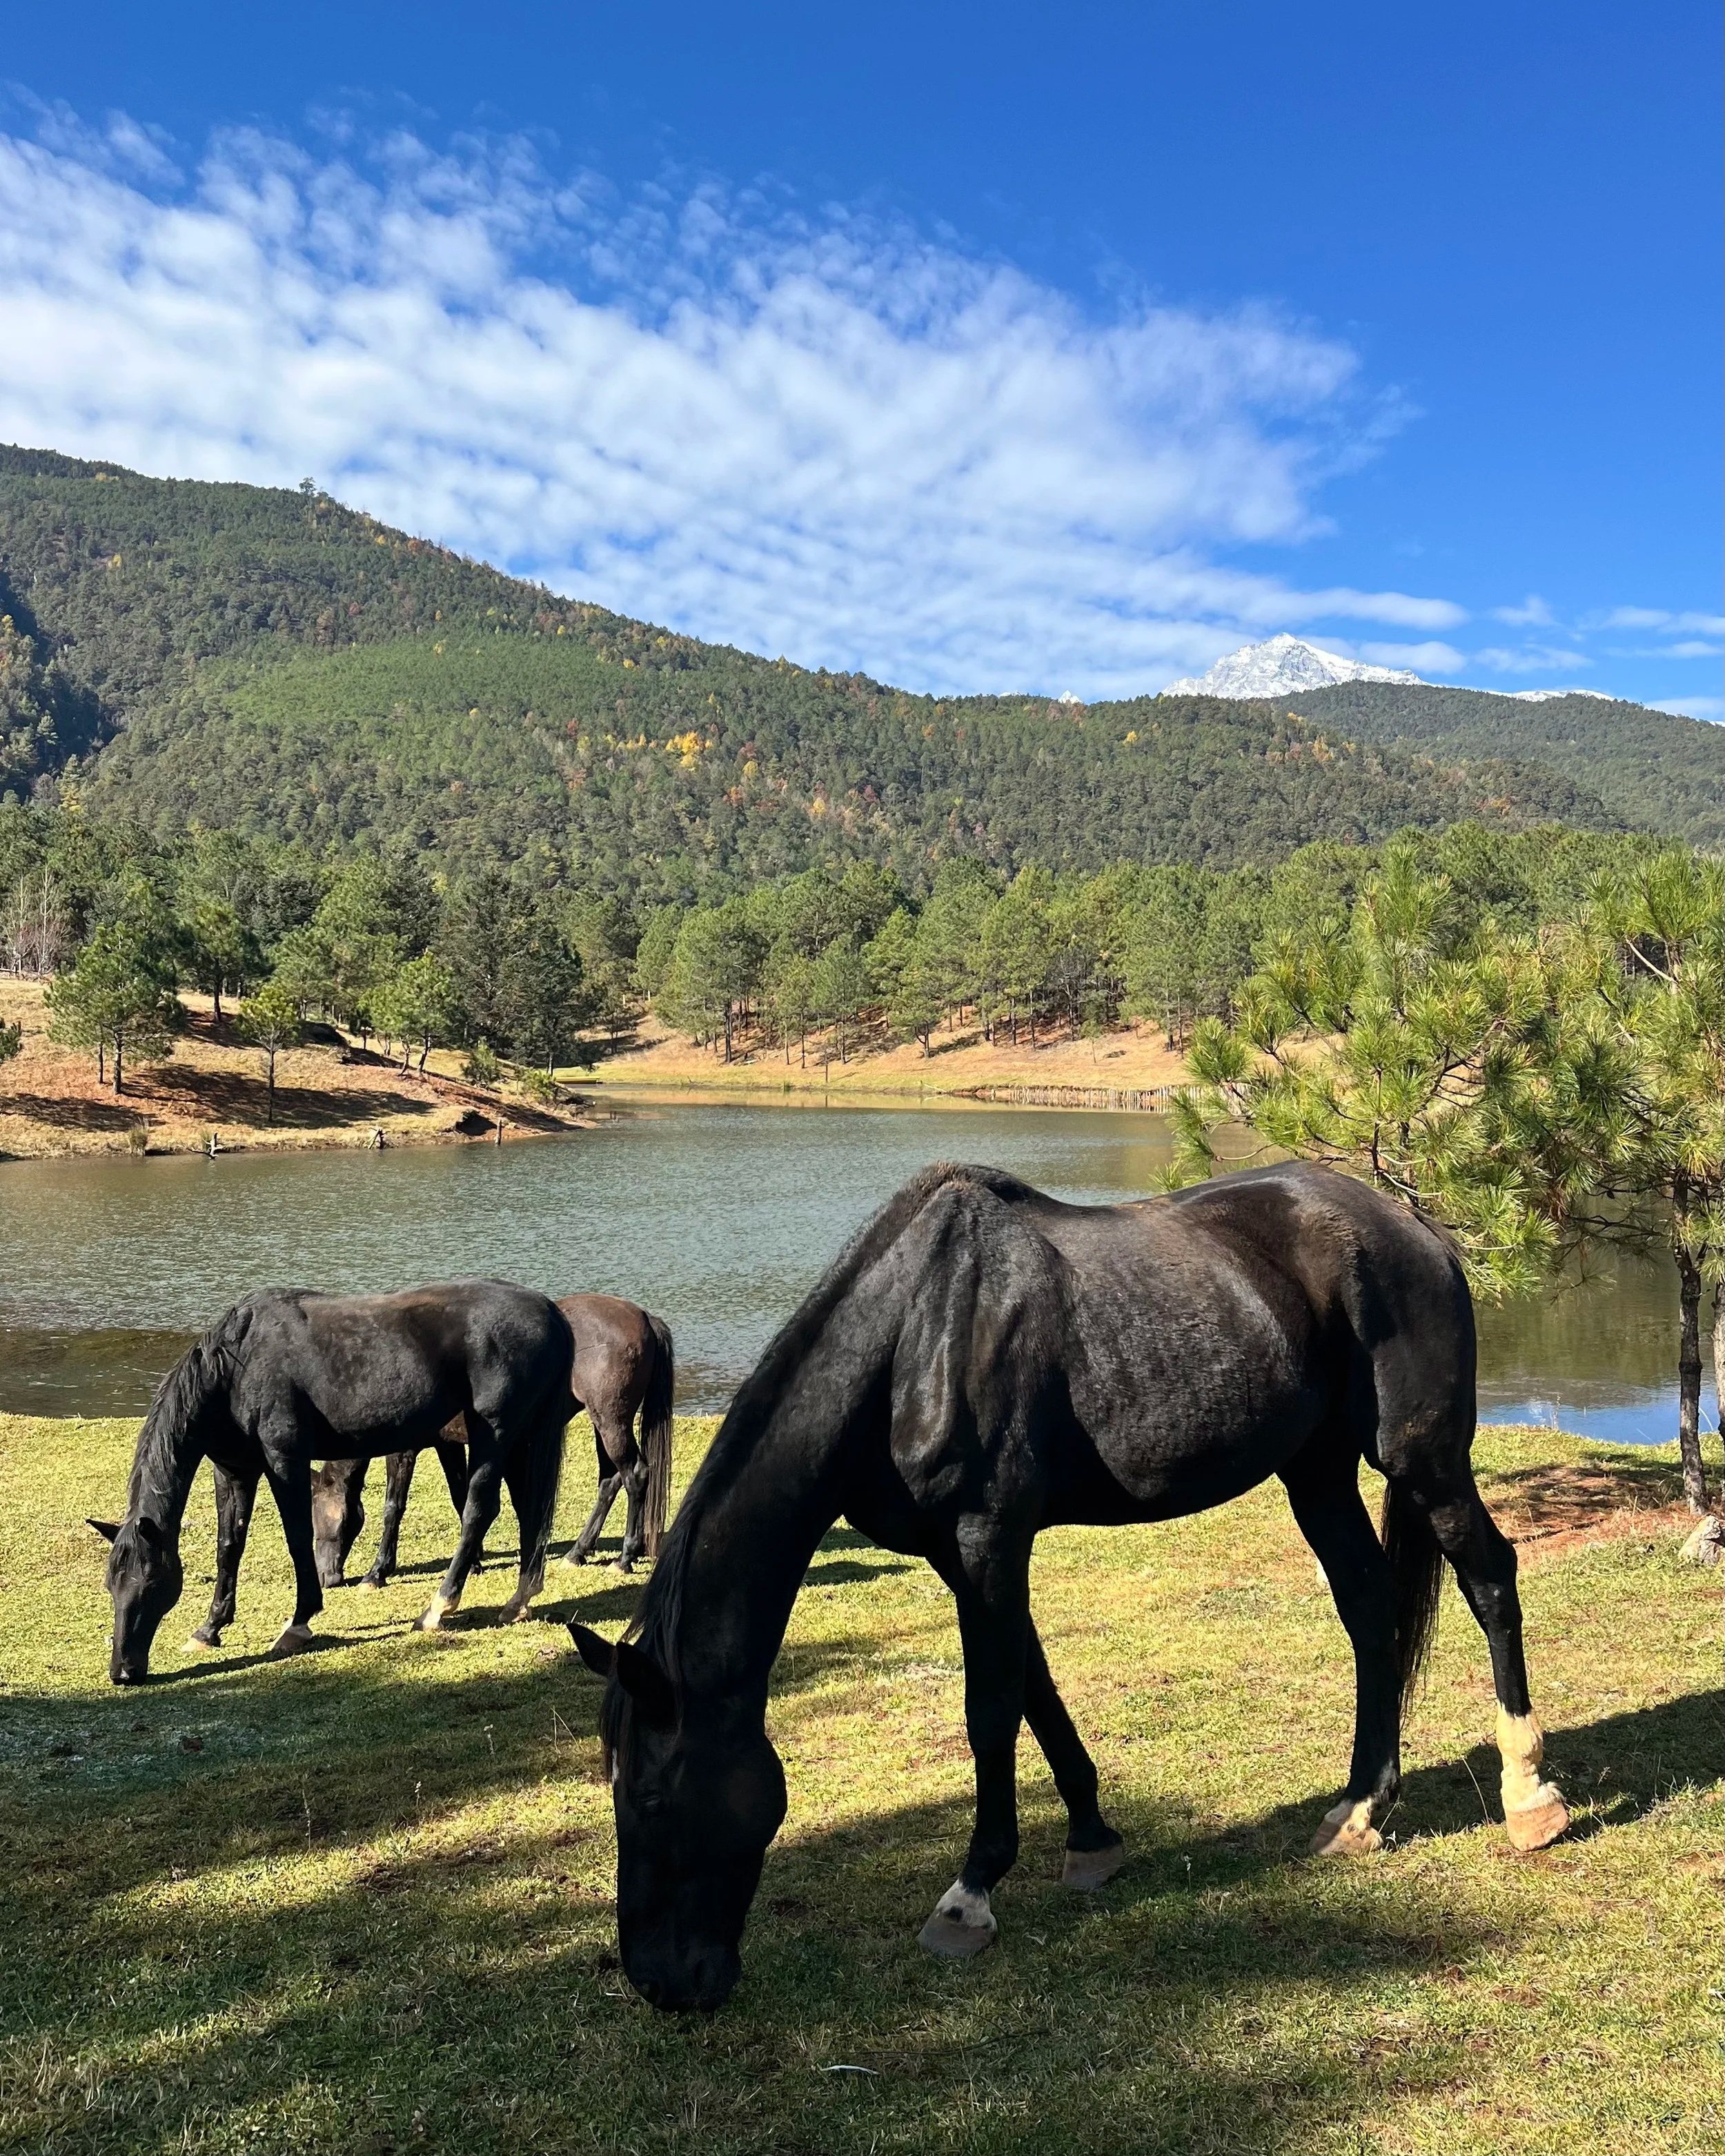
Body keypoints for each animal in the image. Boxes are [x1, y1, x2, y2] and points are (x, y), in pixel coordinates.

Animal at [89, 1281, 573, 1682]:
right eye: (112, 1584)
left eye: (151, 1583)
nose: (123, 1671)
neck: (237, 1367)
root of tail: (551, 1312)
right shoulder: (234, 1470)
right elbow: (230, 1545)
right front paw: (209, 1629)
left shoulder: (284, 1460)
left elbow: (297, 1536)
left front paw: (299, 1622)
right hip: (522, 1436)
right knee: (528, 1509)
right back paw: (520, 1600)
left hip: (495, 1432)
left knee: (479, 1510)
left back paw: (438, 1608)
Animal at [304, 1294, 675, 1600]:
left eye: (321, 1515)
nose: (327, 1578)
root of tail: (644, 1317)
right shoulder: (449, 1446)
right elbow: (460, 1496)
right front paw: (474, 1560)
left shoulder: (405, 1452)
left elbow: (393, 1508)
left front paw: (378, 1572)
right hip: (605, 1423)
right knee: (610, 1481)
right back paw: (578, 1553)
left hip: (612, 1421)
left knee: (635, 1476)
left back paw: (625, 1557)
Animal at [569, 1160, 1571, 2012]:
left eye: (650, 1797)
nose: (662, 1984)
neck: (910, 1342)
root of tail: (1412, 1226)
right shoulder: (963, 1555)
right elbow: (1035, 1691)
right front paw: (1090, 1837)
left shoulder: (988, 1537)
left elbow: (989, 1709)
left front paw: (970, 1893)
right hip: (1316, 1472)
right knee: (1368, 1611)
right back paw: (1360, 1807)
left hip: (1422, 1459)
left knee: (1490, 1579)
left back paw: (1531, 1797)